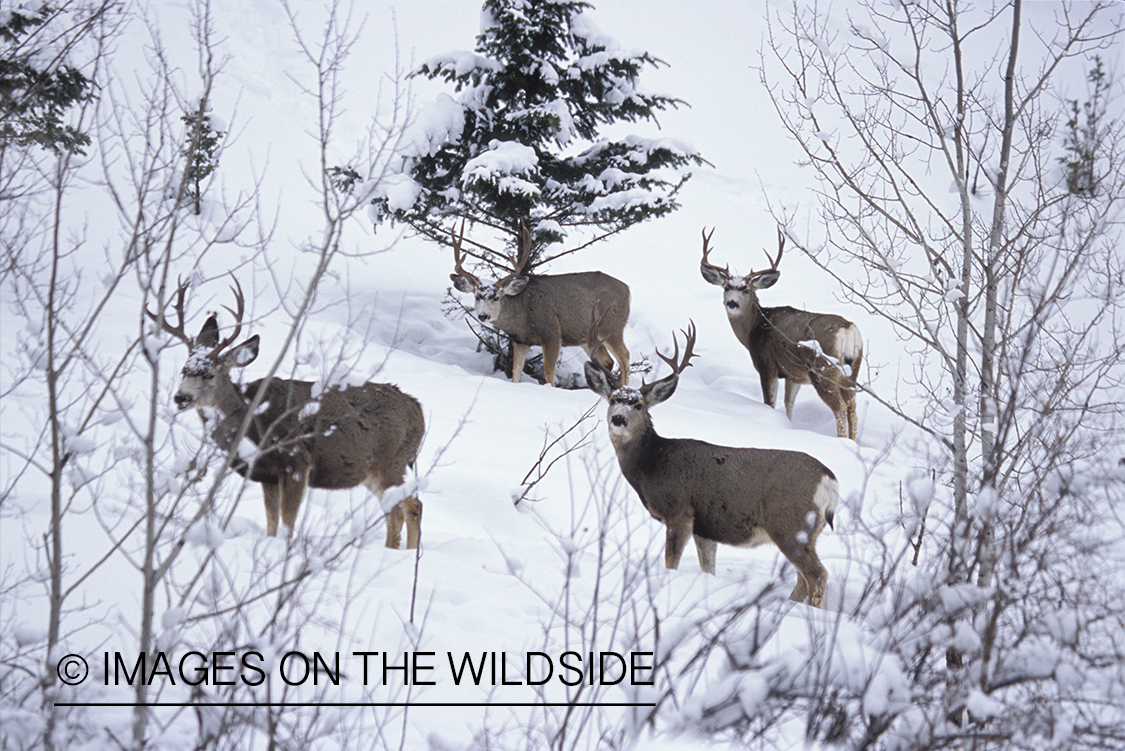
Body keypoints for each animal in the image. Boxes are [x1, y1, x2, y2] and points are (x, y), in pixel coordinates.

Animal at [151, 279, 423, 539]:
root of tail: (418, 410)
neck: (252, 420)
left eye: (209, 374)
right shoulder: (267, 475)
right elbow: (272, 523)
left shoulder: (296, 462)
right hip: (373, 471)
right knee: (411, 507)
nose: (181, 397)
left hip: (392, 461)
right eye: (184, 370)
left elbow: (287, 522)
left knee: (401, 511)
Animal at [450, 221, 634, 386]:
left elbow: (549, 374)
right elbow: (515, 373)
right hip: (588, 337)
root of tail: (627, 290)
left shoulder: (552, 333)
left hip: (612, 327)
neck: (523, 314)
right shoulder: (521, 341)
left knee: (625, 356)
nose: (483, 315)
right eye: (477, 296)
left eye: (496, 297)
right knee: (608, 361)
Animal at [585, 317, 841, 602]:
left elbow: (670, 563)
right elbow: (708, 569)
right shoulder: (705, 529)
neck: (652, 463)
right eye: (612, 400)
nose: (618, 418)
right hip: (804, 531)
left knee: (817, 575)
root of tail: (829, 480)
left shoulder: (680, 511)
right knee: (802, 579)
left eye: (639, 405)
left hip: (790, 524)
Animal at [697, 229, 864, 440]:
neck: (755, 329)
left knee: (840, 408)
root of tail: (848, 328)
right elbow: (788, 405)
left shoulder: (767, 365)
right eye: (727, 287)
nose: (732, 303)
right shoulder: (793, 375)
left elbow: (770, 403)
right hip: (853, 370)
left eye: (746, 289)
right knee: (852, 407)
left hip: (824, 369)